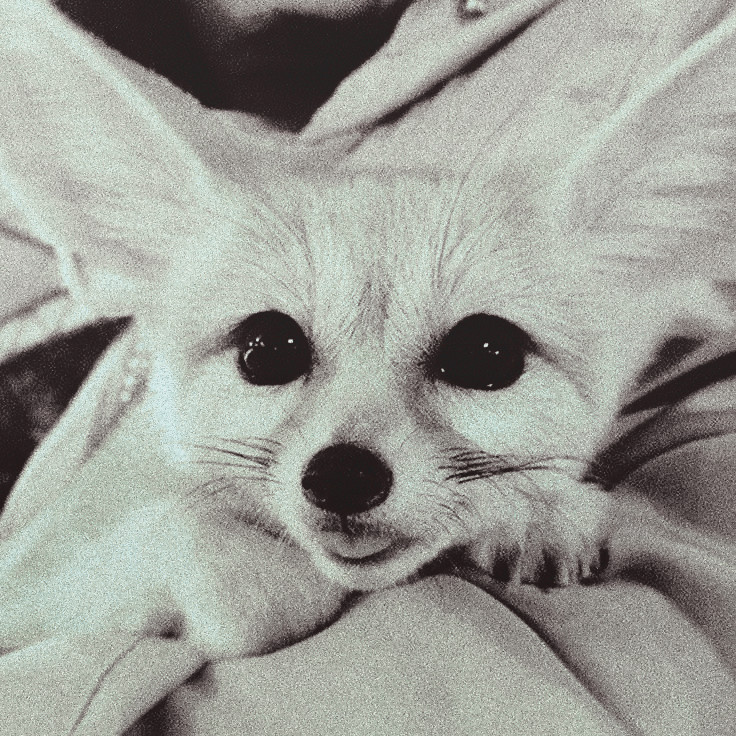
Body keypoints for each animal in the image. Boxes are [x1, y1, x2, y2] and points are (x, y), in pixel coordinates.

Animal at [0, 0, 734, 659]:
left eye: (487, 354)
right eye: (266, 350)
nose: (343, 477)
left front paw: (531, 510)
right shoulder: (29, 582)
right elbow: (234, 570)